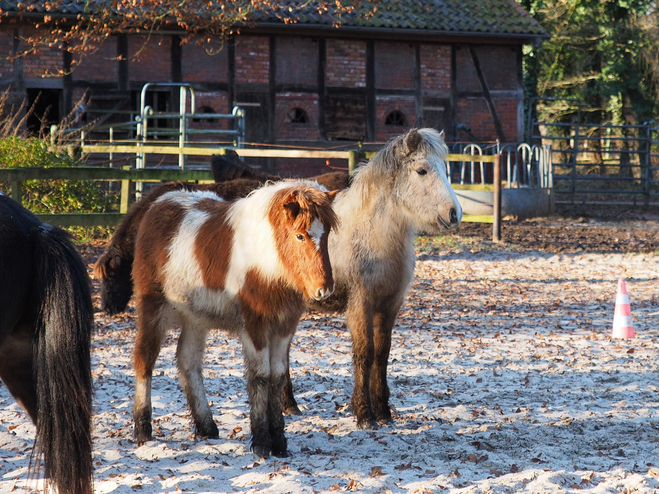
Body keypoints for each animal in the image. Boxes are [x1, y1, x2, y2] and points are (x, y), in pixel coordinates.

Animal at [131, 181, 338, 460]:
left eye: (326, 234)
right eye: (300, 236)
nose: (323, 290)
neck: (267, 261)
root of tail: (158, 204)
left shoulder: (284, 326)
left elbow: (278, 376)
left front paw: (280, 443)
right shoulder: (255, 325)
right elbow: (261, 375)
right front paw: (261, 443)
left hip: (195, 318)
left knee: (188, 361)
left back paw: (207, 426)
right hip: (153, 307)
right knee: (145, 358)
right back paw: (143, 430)